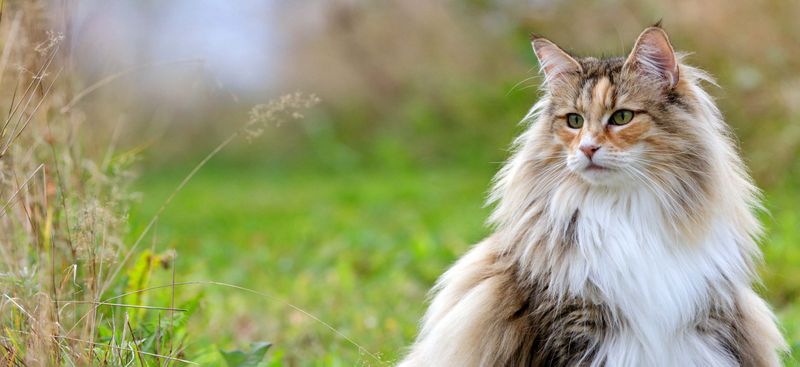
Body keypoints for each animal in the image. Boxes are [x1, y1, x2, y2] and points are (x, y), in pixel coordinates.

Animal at [396, 24, 784, 366]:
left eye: (622, 117)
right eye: (574, 121)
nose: (587, 148)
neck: (624, 210)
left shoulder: (707, 318)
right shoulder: (573, 320)